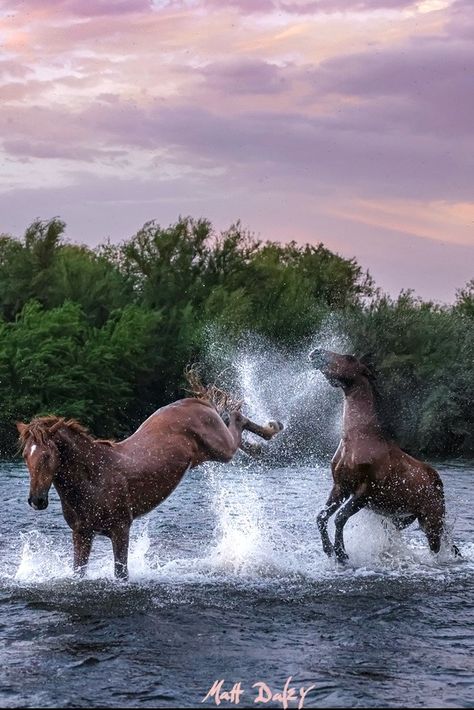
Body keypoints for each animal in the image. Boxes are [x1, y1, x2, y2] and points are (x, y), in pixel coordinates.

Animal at [18, 398, 282, 580]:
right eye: (25, 455)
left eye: (47, 455)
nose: (36, 500)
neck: (94, 478)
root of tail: (196, 402)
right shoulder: (82, 533)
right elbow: (78, 572)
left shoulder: (120, 529)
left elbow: (121, 574)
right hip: (209, 452)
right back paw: (260, 444)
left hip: (221, 449)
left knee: (237, 419)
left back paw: (272, 428)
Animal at [308, 348, 460, 564]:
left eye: (349, 358)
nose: (316, 352)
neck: (357, 440)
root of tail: (437, 481)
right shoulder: (340, 487)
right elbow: (322, 517)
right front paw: (329, 550)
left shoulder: (364, 492)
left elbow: (340, 518)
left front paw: (342, 554)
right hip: (405, 518)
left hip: (431, 521)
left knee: (439, 549)